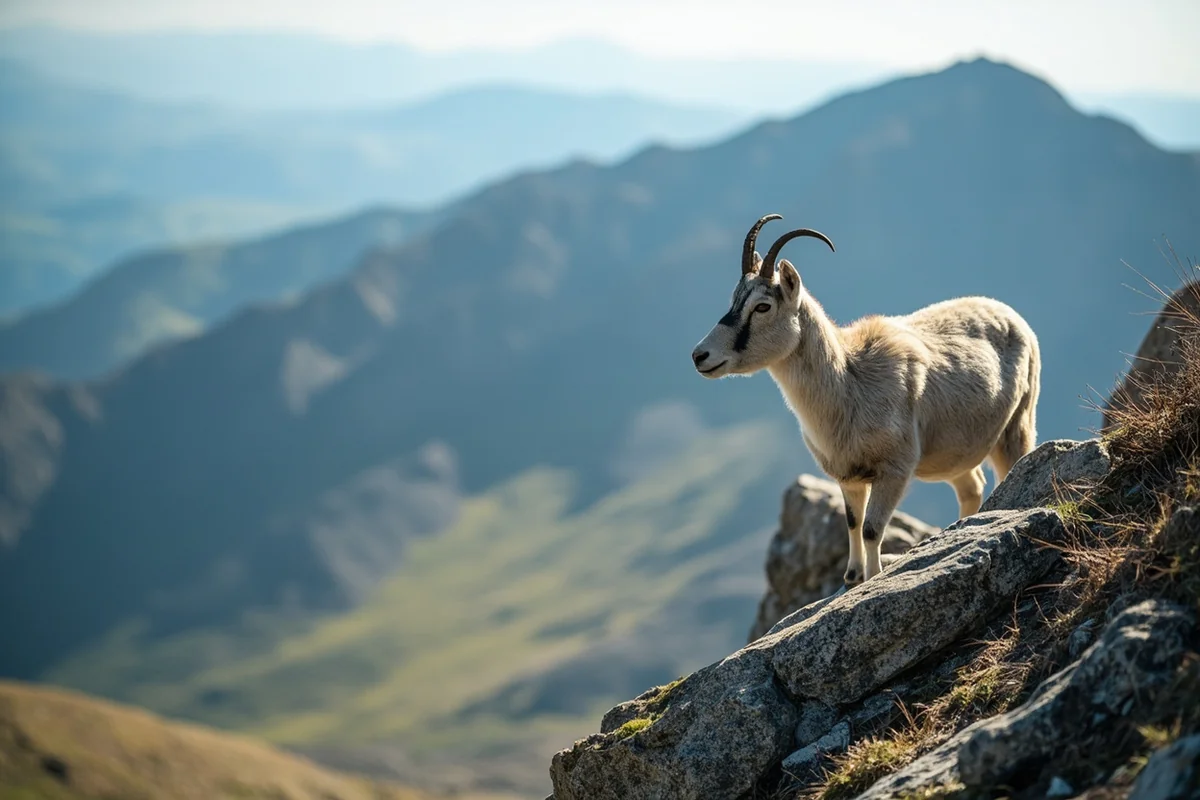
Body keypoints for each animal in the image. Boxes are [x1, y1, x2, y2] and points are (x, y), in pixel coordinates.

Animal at [691, 214, 1041, 585]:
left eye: (762, 306)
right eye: (734, 299)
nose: (700, 356)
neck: (849, 383)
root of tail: (1011, 315)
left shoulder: (895, 469)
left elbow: (872, 528)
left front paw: (873, 577)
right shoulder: (848, 476)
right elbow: (853, 523)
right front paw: (852, 576)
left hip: (1017, 426)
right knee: (972, 487)